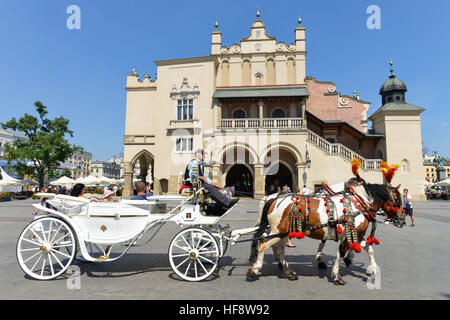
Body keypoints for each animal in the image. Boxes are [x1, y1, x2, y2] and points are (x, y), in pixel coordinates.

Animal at [248, 181, 402, 284]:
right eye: (398, 201)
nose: (402, 220)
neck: (357, 204)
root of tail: (273, 199)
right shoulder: (347, 236)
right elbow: (340, 255)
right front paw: (337, 275)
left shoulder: (357, 235)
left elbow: (369, 250)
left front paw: (373, 269)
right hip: (278, 230)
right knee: (263, 243)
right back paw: (255, 268)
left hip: (282, 233)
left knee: (278, 248)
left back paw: (288, 272)